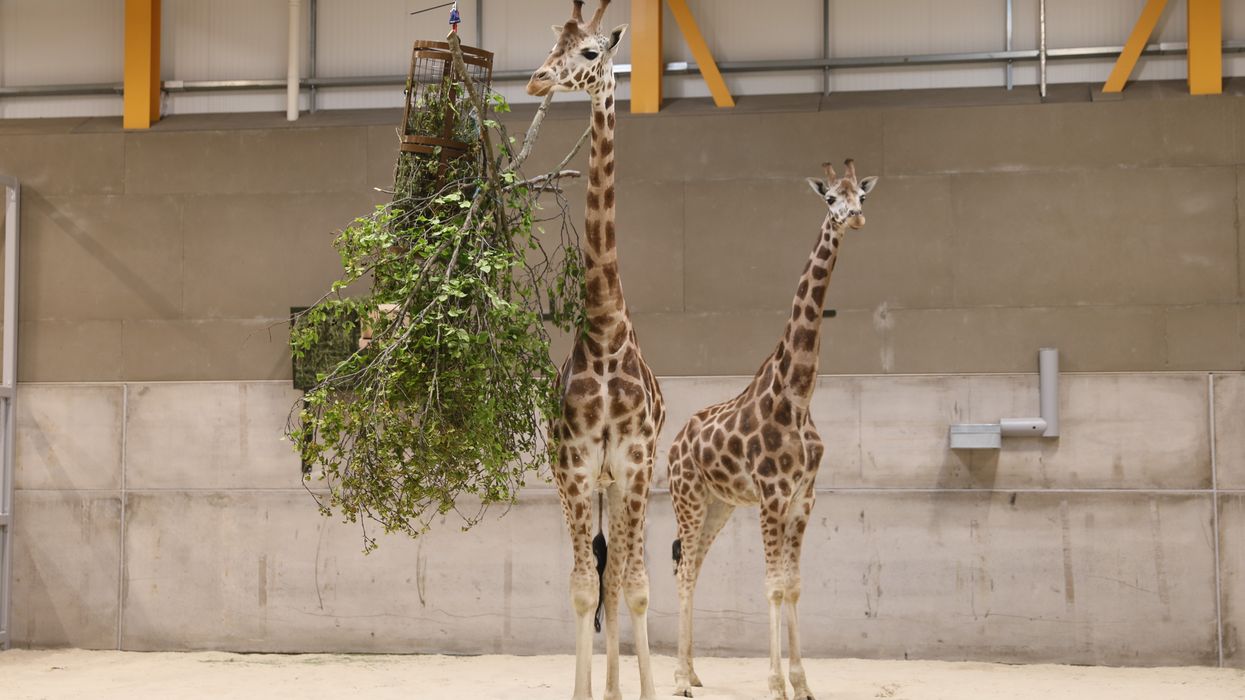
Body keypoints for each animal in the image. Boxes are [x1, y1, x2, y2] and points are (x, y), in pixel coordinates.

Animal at [666, 160, 878, 700]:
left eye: (862, 196)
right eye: (830, 198)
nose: (855, 219)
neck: (799, 395)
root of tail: (674, 443)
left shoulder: (804, 497)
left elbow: (794, 585)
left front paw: (802, 683)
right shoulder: (772, 494)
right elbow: (773, 585)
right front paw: (775, 682)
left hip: (718, 504)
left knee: (693, 564)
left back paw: (693, 672)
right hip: (688, 497)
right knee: (683, 569)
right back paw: (677, 678)